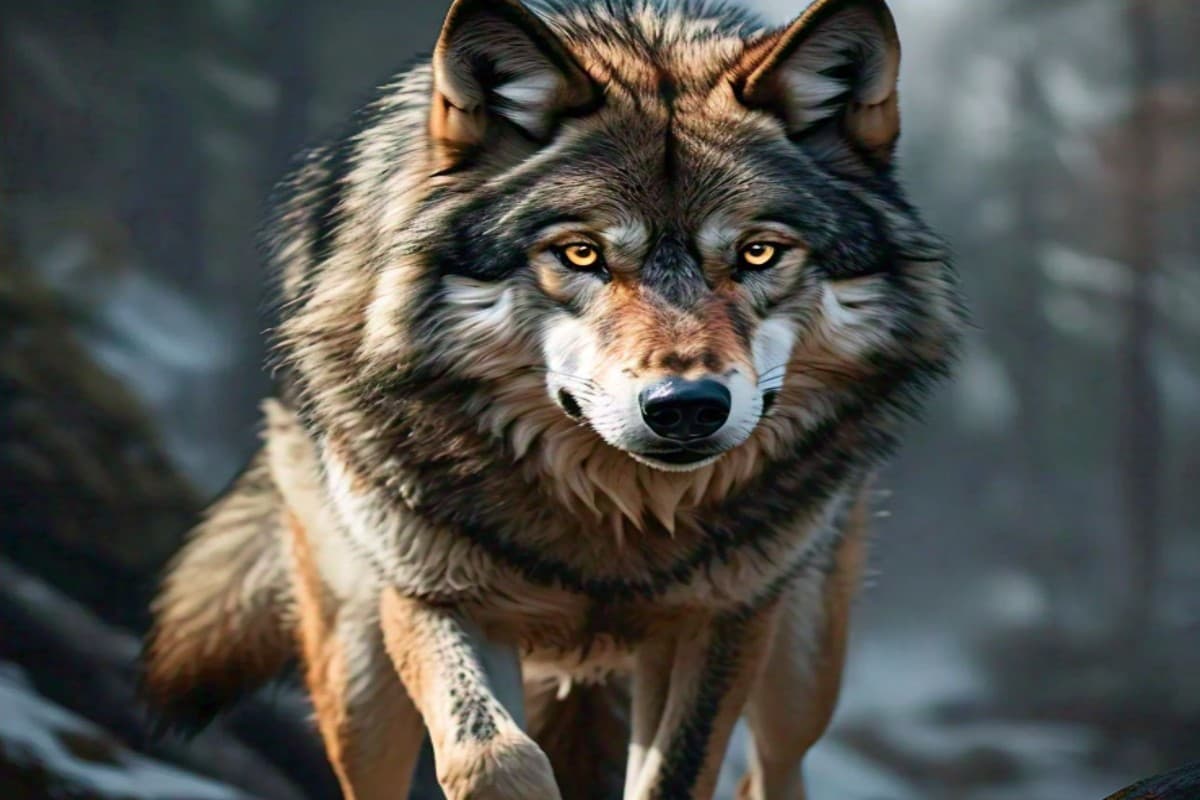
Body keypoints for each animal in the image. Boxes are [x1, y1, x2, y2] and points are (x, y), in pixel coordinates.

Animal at [143, 0, 964, 798]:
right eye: (581, 253)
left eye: (758, 252)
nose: (687, 406)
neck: (611, 527)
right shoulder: (433, 594)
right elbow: (492, 758)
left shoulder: (720, 620)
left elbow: (675, 778)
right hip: (359, 672)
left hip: (798, 667)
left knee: (771, 770)